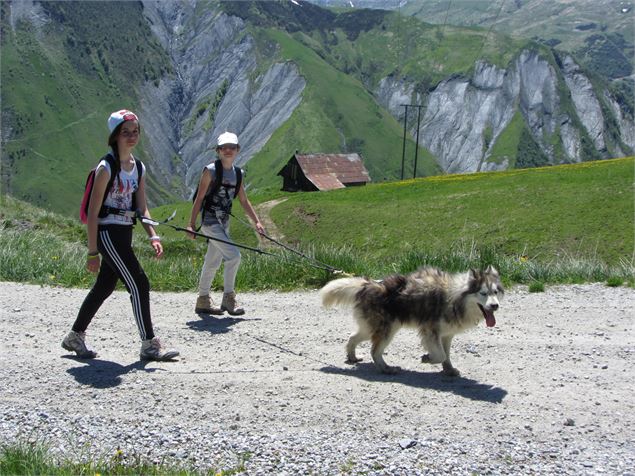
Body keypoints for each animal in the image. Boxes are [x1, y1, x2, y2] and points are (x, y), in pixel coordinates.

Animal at [320, 264, 504, 376]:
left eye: (495, 292)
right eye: (483, 293)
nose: (495, 306)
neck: (454, 298)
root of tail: (368, 284)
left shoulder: (446, 334)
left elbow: (446, 355)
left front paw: (449, 370)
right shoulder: (430, 331)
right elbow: (440, 355)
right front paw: (428, 358)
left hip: (371, 328)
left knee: (352, 337)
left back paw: (352, 357)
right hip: (387, 330)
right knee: (375, 351)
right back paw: (385, 368)